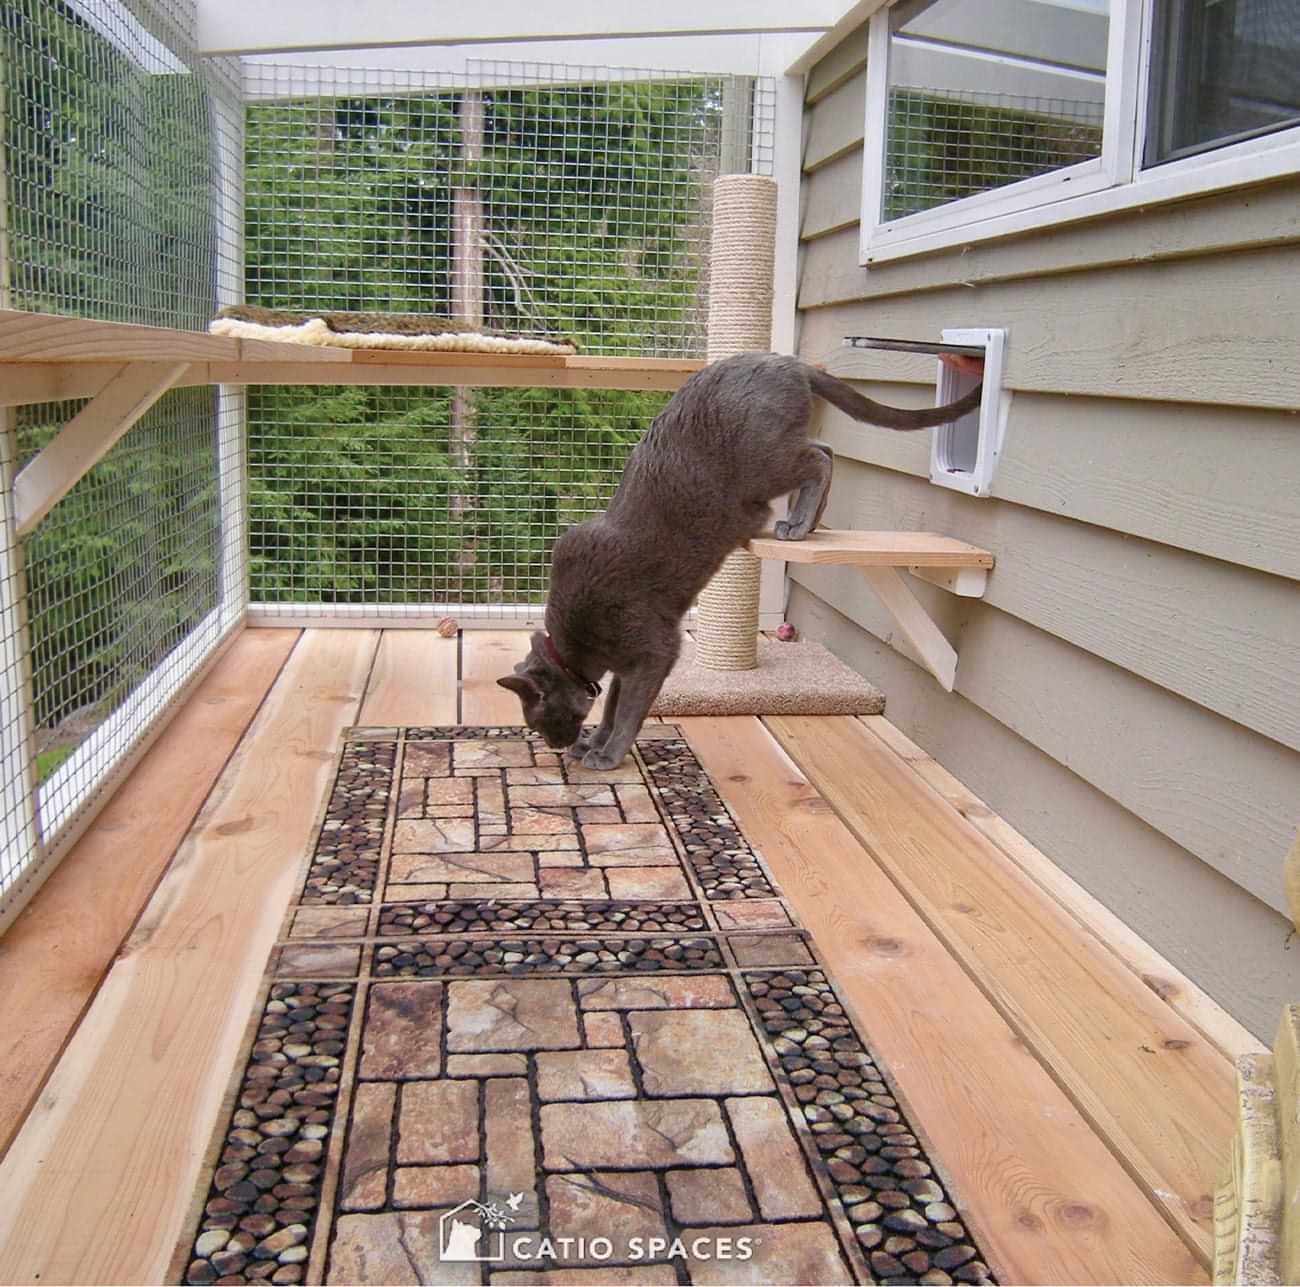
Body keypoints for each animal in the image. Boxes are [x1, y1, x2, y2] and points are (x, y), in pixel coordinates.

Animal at [491, 353, 977, 764]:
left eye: (541, 720)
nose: (556, 745)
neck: (576, 648)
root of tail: (787, 360)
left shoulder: (653, 650)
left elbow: (626, 709)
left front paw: (606, 754)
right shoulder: (628, 665)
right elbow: (611, 704)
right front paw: (594, 744)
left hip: (762, 465)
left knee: (818, 458)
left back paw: (797, 524)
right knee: (826, 450)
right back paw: (810, 522)